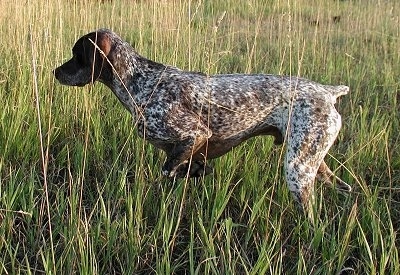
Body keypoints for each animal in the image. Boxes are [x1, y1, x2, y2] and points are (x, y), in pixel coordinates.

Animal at [54, 29, 354, 211]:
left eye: (76, 54)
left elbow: (168, 169)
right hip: (311, 161)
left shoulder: (194, 134)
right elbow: (187, 167)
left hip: (297, 169)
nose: (55, 71)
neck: (140, 81)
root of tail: (328, 92)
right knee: (343, 187)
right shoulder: (189, 151)